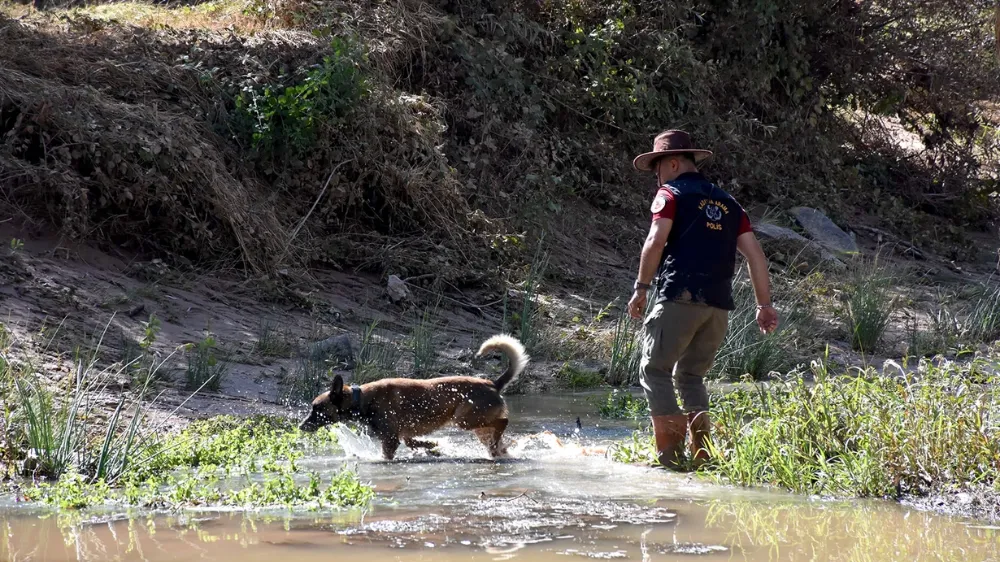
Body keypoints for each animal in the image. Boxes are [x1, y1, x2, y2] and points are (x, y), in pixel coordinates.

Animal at [298, 334, 528, 458]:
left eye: (317, 409)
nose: (300, 427)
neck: (360, 398)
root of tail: (493, 384)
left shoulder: (390, 440)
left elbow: (388, 454)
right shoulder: (406, 435)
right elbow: (416, 443)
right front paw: (434, 448)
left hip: (464, 420)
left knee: (503, 422)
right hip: (477, 426)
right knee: (496, 439)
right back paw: (498, 451)